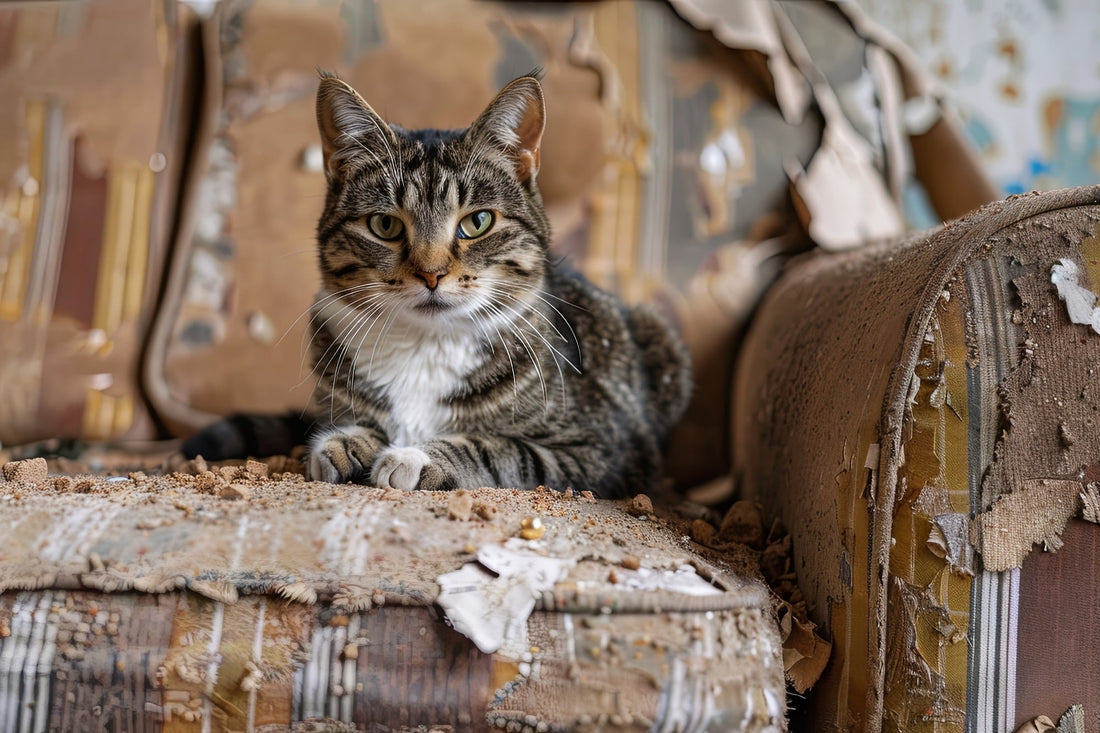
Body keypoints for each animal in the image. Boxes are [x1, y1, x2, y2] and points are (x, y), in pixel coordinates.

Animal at [189, 72, 690, 497]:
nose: (431, 273)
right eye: (385, 225)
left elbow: (504, 450)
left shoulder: (602, 449)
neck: (425, 345)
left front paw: (414, 456)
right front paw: (345, 441)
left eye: (478, 222)